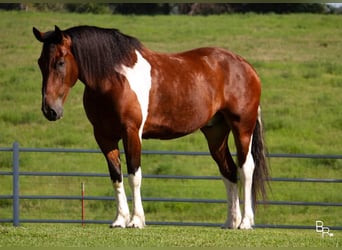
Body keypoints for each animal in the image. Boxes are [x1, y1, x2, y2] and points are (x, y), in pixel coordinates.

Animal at [32, 24, 268, 229]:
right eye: (40, 62)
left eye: (60, 62)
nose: (50, 110)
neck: (113, 79)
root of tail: (245, 66)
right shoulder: (104, 137)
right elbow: (116, 176)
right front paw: (120, 220)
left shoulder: (131, 133)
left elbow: (134, 175)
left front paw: (136, 220)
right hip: (215, 133)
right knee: (229, 171)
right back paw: (231, 222)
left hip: (242, 129)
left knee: (246, 169)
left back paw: (245, 222)